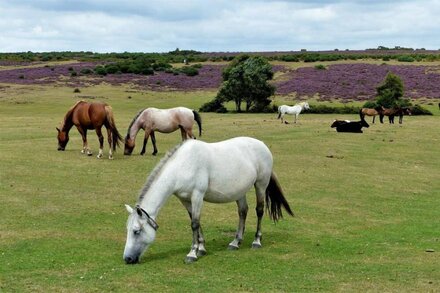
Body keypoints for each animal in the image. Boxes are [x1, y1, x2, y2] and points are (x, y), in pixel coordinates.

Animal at [124, 136, 294, 262]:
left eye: (136, 231)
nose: (127, 259)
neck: (182, 166)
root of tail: (262, 145)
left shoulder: (197, 195)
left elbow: (194, 223)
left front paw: (192, 253)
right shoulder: (185, 200)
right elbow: (195, 221)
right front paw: (201, 248)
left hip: (260, 185)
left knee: (259, 211)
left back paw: (256, 241)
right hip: (240, 191)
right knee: (242, 212)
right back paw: (235, 242)